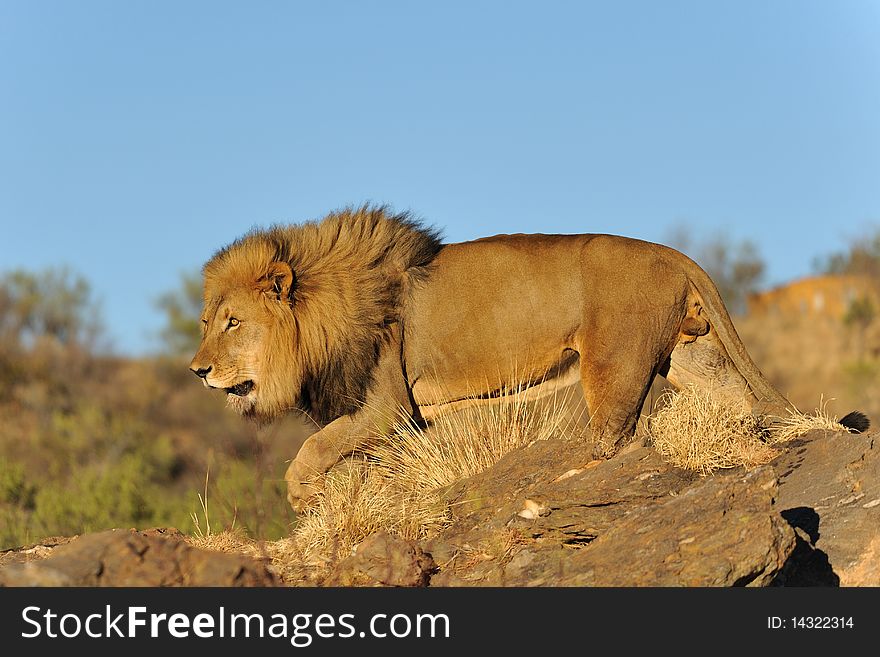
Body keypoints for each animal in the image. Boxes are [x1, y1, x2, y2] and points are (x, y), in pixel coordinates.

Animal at [189, 204, 868, 508]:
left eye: (232, 324)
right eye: (204, 323)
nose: (198, 370)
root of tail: (671, 252)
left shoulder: (385, 406)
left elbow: (314, 448)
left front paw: (302, 498)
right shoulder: (399, 418)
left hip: (612, 365)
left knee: (617, 437)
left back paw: (572, 480)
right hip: (692, 355)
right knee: (738, 399)